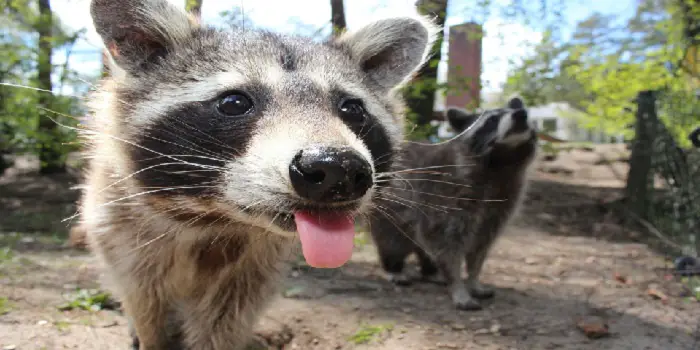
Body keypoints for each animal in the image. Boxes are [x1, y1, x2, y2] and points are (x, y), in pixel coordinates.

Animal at [78, 1, 438, 348]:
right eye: (234, 102)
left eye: (352, 109)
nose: (338, 169)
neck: (218, 219)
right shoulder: (122, 229)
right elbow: (146, 302)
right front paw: (153, 337)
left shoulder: (256, 266)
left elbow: (227, 319)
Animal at [370, 95, 540, 308]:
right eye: (492, 120)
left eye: (524, 113)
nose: (521, 114)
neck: (502, 162)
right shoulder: (445, 195)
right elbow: (447, 245)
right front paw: (457, 284)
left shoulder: (501, 204)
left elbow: (480, 247)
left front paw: (474, 279)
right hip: (391, 213)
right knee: (393, 242)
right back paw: (394, 268)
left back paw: (430, 271)